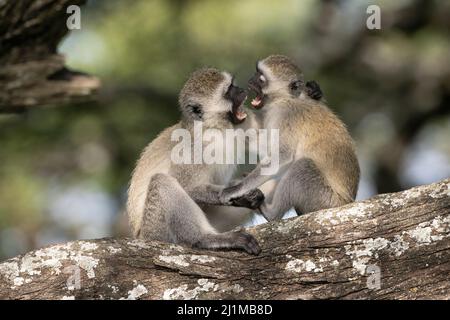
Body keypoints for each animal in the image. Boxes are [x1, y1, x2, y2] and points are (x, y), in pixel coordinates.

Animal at [127, 67, 268, 255]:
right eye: (228, 91)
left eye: (233, 85)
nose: (241, 90)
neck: (214, 128)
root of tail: (139, 237)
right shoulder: (193, 150)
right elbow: (187, 186)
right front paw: (244, 194)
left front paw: (246, 195)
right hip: (155, 230)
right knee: (162, 182)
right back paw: (205, 239)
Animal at [220, 54, 360, 220]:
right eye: (256, 72)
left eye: (261, 79)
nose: (249, 80)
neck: (286, 98)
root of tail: (347, 202)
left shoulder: (286, 115)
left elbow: (283, 155)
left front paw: (236, 188)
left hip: (325, 201)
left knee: (301, 167)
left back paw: (271, 213)